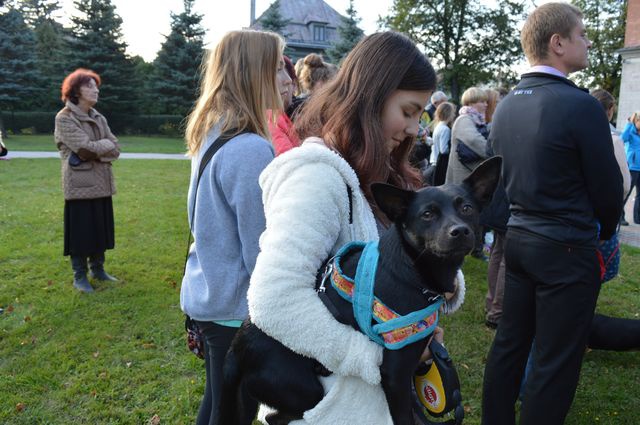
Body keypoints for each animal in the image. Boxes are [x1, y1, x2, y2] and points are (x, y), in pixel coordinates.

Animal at [222, 157, 502, 422]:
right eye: (427, 214)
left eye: (467, 208)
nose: (460, 231)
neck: (412, 272)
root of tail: (235, 347)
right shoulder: (396, 374)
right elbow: (405, 416)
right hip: (302, 388)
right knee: (277, 415)